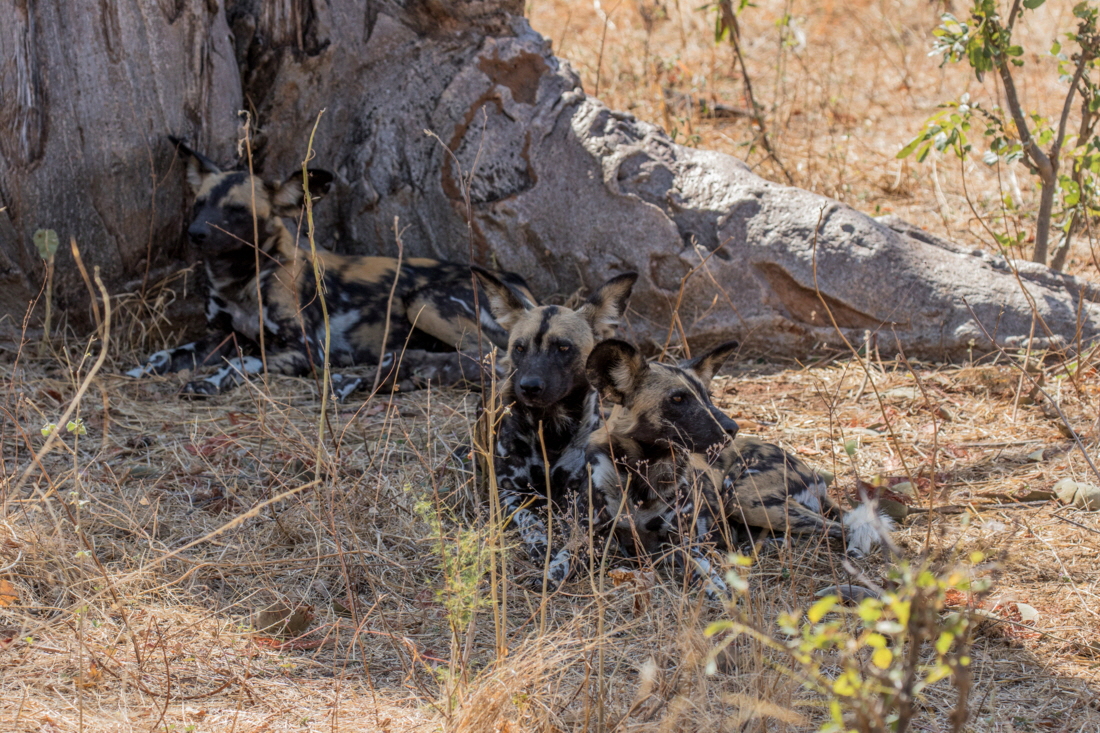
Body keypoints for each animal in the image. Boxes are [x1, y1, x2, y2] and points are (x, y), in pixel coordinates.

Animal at [475, 268, 642, 589]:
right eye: (519, 348)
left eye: (563, 347)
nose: (529, 386)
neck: (550, 429)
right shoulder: (508, 493)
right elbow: (531, 521)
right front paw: (543, 545)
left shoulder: (587, 507)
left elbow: (576, 544)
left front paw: (556, 570)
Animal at [585, 338, 893, 598]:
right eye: (677, 399)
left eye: (708, 396)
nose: (732, 428)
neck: (643, 475)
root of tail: (811, 471)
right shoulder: (598, 540)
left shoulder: (687, 545)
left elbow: (701, 570)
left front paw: (717, 589)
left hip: (742, 499)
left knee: (839, 527)